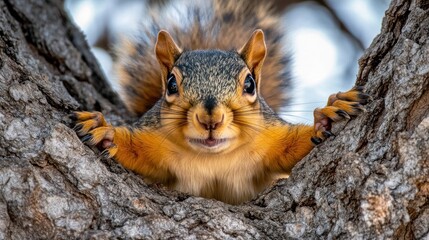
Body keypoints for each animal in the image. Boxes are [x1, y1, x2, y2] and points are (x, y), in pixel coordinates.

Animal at [72, 0, 368, 205]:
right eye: (171, 84)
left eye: (250, 84)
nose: (210, 119)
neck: (214, 158)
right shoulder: (154, 142)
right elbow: (135, 152)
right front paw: (105, 132)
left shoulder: (271, 138)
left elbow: (292, 149)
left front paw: (326, 116)